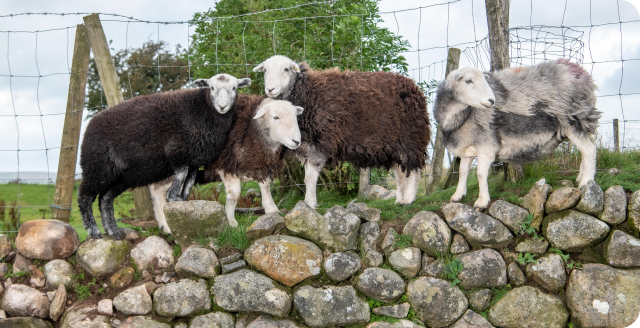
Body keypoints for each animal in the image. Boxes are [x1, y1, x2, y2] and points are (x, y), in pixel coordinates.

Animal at [77, 73, 250, 238]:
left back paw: (113, 232)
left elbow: (189, 181)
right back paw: (94, 231)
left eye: (234, 88)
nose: (222, 106)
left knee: (105, 199)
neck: (203, 109)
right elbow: (181, 175)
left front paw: (182, 200)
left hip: (122, 177)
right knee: (85, 197)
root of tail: (90, 126)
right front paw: (172, 197)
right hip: (97, 167)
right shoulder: (177, 151)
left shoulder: (194, 158)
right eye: (212, 88)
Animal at [149, 96, 304, 232]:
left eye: (295, 117)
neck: (252, 129)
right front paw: (230, 221)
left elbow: (265, 186)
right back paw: (166, 226)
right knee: (157, 191)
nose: (296, 141)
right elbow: (234, 195)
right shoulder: (226, 165)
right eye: (275, 117)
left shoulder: (259, 162)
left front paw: (272, 210)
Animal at [251, 55, 430, 206]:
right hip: (394, 144)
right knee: (401, 171)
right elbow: (307, 177)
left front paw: (310, 203)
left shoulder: (320, 141)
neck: (307, 94)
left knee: (413, 170)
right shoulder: (305, 144)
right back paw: (400, 199)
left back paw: (409, 199)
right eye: (265, 70)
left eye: (286, 69)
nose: (270, 89)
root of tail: (414, 87)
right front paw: (309, 202)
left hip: (411, 137)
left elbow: (310, 178)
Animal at [432, 58, 604, 209]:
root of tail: (581, 73)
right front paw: (457, 195)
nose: (492, 101)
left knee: (589, 149)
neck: (462, 117)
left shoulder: (486, 146)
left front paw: (482, 201)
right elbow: (462, 172)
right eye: (468, 81)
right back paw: (580, 177)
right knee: (588, 147)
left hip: (573, 119)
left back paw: (586, 182)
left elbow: (480, 174)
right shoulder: (468, 146)